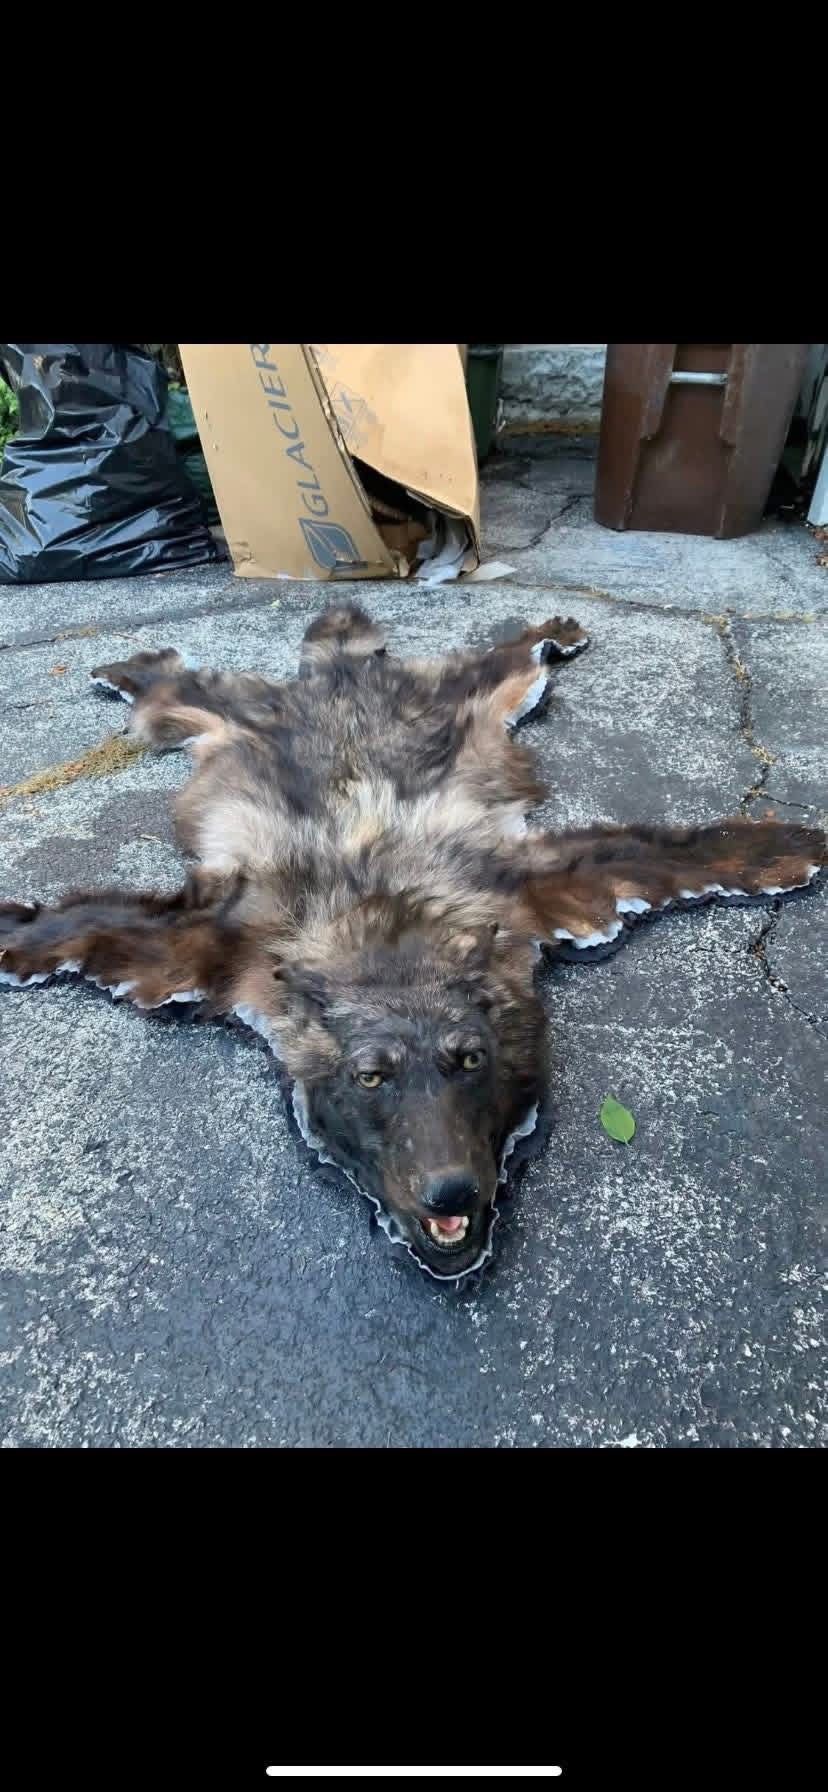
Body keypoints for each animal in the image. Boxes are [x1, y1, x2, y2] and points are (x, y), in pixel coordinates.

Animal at [1, 604, 824, 1281]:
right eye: (370, 1077)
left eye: (472, 1060)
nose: (450, 1190)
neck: (386, 941)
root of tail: (335, 670)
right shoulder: (225, 935)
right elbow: (89, 923)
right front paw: (18, 930)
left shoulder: (518, 885)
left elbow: (659, 853)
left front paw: (787, 845)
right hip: (219, 718)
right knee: (176, 688)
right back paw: (129, 669)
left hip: (471, 704)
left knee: (504, 663)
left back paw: (549, 631)